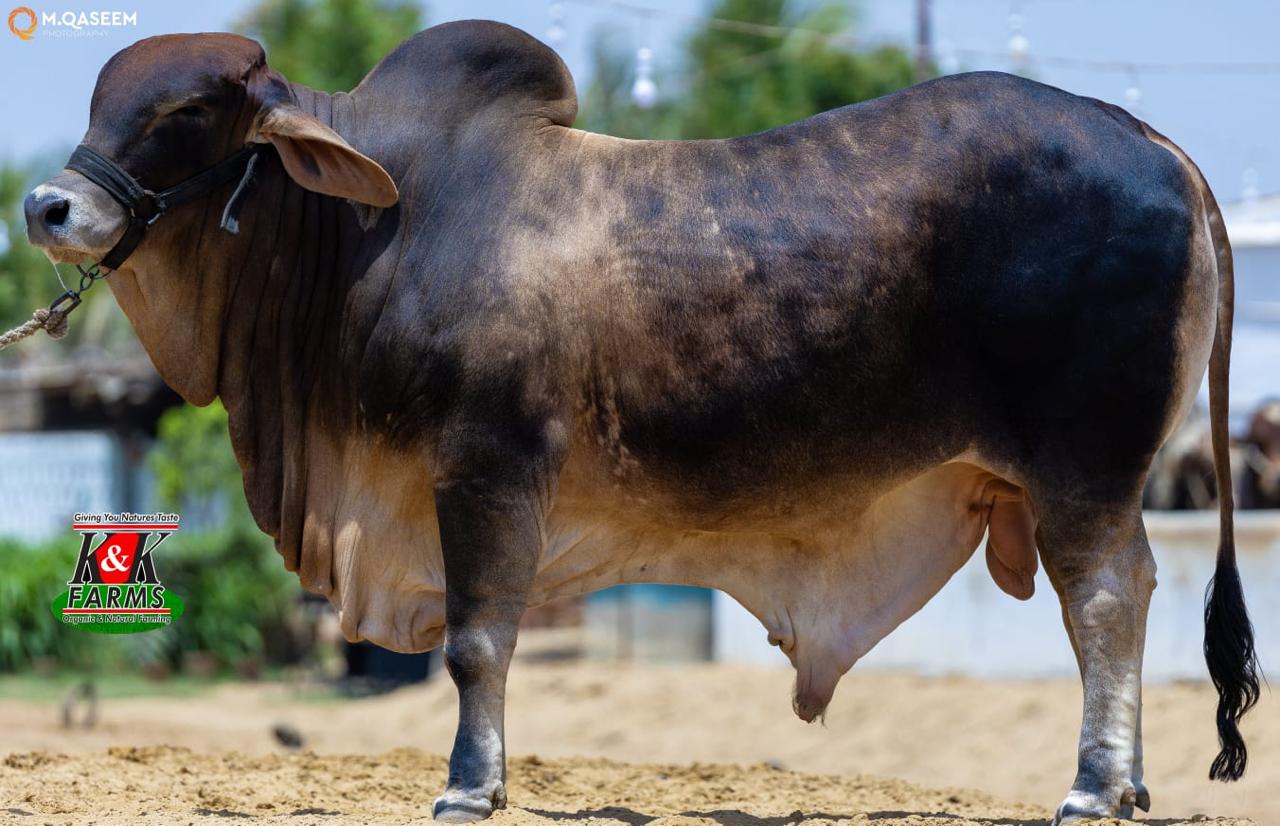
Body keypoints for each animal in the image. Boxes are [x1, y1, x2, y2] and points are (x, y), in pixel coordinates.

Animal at [22, 21, 1259, 824]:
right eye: (97, 98)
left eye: (188, 109)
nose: (47, 206)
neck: (378, 222)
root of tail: (1153, 143)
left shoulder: (483, 466)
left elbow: (476, 640)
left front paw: (470, 785)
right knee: (1130, 590)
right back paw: (1127, 782)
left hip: (1082, 463)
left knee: (1103, 600)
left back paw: (1092, 787)